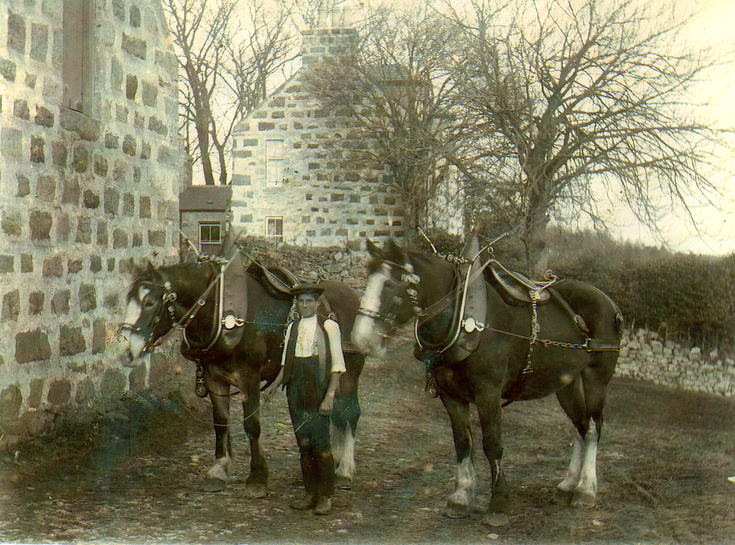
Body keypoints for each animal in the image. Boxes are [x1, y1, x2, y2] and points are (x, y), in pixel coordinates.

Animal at [122, 253, 366, 496]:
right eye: (128, 298)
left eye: (150, 302)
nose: (127, 349)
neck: (222, 315)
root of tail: (350, 294)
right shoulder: (213, 377)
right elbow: (220, 422)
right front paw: (219, 469)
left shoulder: (249, 377)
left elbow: (252, 425)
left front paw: (257, 477)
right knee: (335, 412)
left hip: (349, 370)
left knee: (350, 412)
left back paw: (345, 469)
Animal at [354, 239, 624, 524]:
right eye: (368, 278)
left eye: (390, 284)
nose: (361, 337)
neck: (462, 317)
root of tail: (610, 303)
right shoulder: (451, 396)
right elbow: (463, 442)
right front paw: (461, 496)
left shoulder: (488, 393)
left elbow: (492, 444)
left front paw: (500, 500)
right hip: (566, 383)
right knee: (581, 426)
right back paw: (568, 484)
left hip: (596, 379)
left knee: (594, 427)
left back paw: (586, 489)